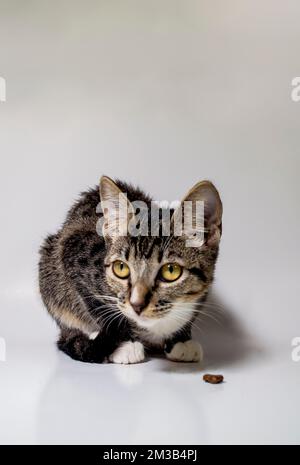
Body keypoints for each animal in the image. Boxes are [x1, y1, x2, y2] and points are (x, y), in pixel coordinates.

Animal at [39, 177, 223, 362]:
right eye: (121, 268)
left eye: (171, 271)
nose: (137, 305)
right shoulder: (75, 256)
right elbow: (99, 306)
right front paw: (124, 344)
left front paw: (181, 340)